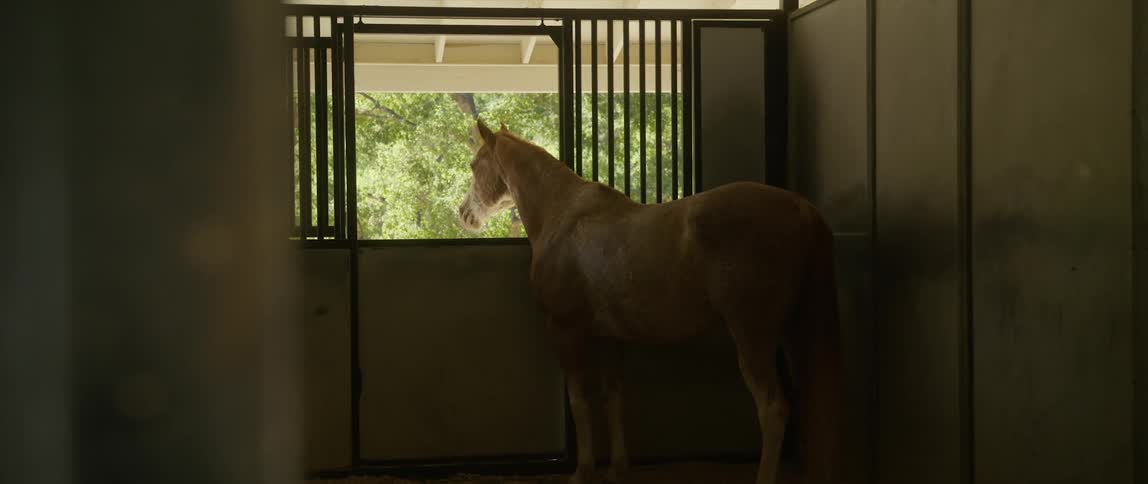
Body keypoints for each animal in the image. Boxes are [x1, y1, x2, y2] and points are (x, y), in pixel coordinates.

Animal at [457, 119, 844, 484]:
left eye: (475, 164)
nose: (463, 215)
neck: (563, 215)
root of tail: (801, 207)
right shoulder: (608, 336)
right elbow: (613, 397)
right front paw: (617, 469)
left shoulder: (564, 330)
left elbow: (579, 401)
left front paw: (582, 472)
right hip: (793, 332)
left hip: (753, 335)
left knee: (774, 409)